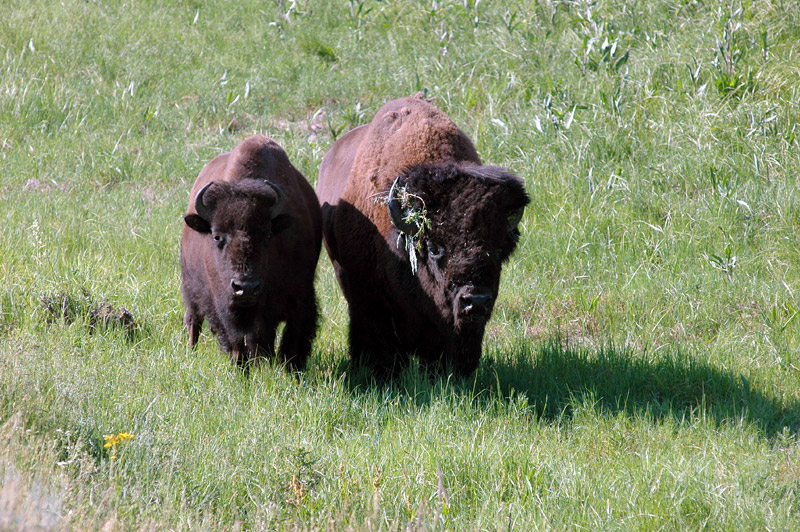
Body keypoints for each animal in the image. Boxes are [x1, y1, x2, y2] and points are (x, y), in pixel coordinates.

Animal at [181, 135, 322, 368]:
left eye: (267, 236)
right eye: (217, 236)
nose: (245, 288)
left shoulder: (299, 297)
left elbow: (289, 338)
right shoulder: (225, 305)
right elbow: (237, 339)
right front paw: (242, 367)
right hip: (192, 288)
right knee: (194, 321)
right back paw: (191, 352)